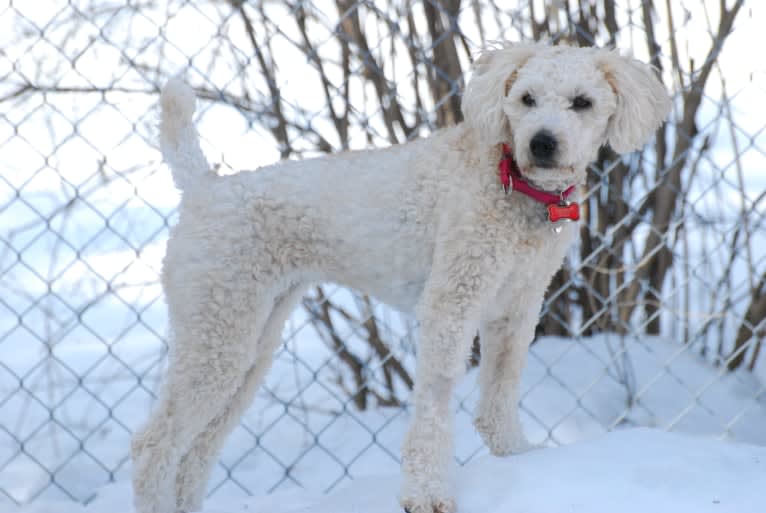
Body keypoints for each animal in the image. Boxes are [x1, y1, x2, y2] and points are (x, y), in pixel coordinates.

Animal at [134, 43, 672, 512]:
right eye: (526, 99)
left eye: (582, 103)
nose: (541, 143)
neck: (514, 185)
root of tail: (203, 188)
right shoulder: (452, 302)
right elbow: (433, 404)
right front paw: (426, 493)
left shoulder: (516, 309)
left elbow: (500, 396)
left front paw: (518, 459)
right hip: (216, 328)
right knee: (152, 447)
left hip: (249, 341)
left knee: (195, 453)